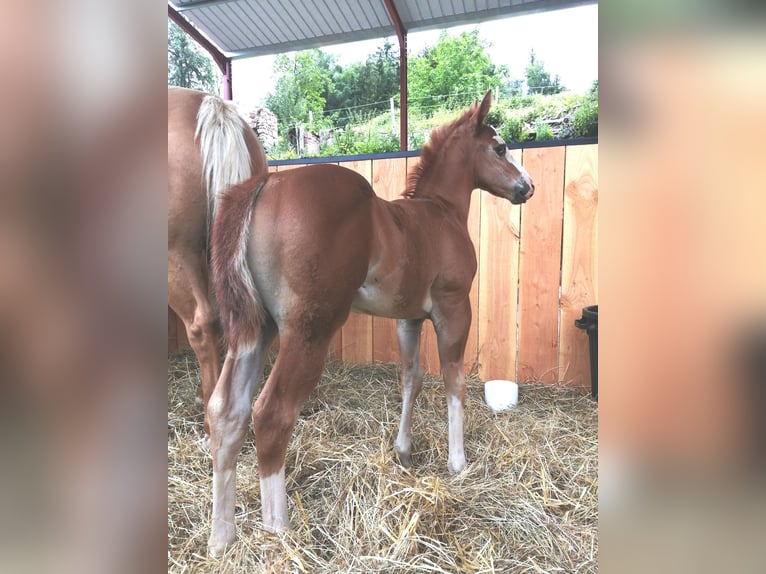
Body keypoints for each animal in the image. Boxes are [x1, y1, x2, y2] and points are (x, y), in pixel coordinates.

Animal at [207, 91, 536, 560]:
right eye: (500, 148)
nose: (527, 187)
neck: (441, 213)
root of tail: (265, 184)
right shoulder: (454, 307)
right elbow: (453, 380)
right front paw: (457, 463)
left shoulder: (408, 317)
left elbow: (411, 378)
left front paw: (404, 450)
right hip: (309, 331)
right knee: (271, 413)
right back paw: (280, 535)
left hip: (256, 329)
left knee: (226, 412)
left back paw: (222, 538)